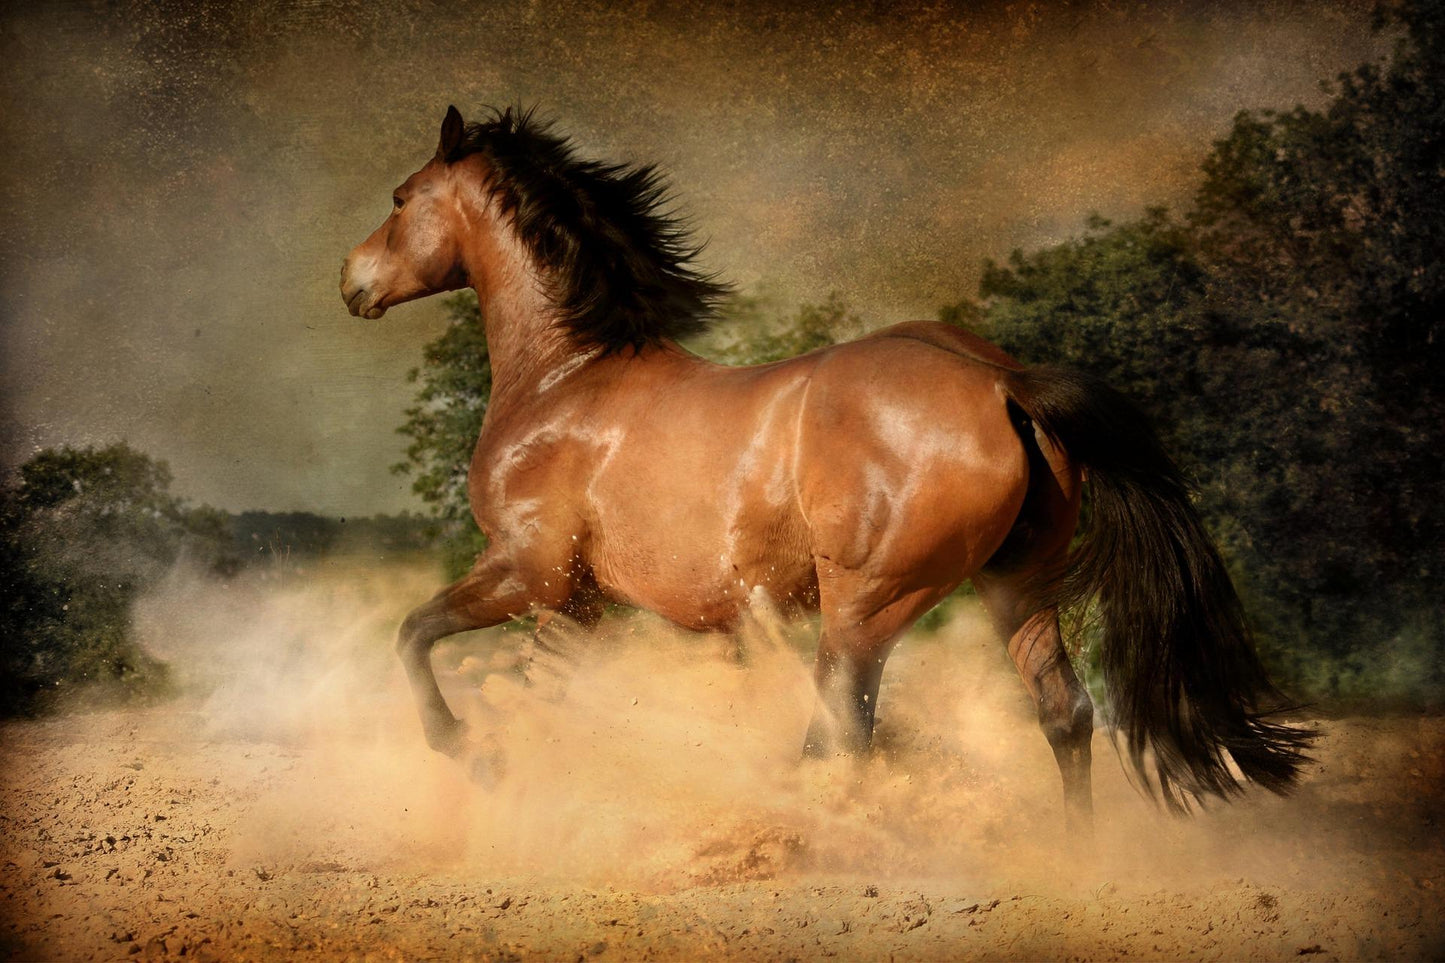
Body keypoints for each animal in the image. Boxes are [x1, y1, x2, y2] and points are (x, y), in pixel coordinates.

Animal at [341, 105, 1311, 828]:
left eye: (401, 195)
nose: (351, 281)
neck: (567, 376)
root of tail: (998, 379)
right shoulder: (576, 604)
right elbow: (544, 695)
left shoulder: (528, 571)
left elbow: (413, 634)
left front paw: (471, 755)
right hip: (1016, 583)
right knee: (1065, 716)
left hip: (867, 603)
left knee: (840, 731)